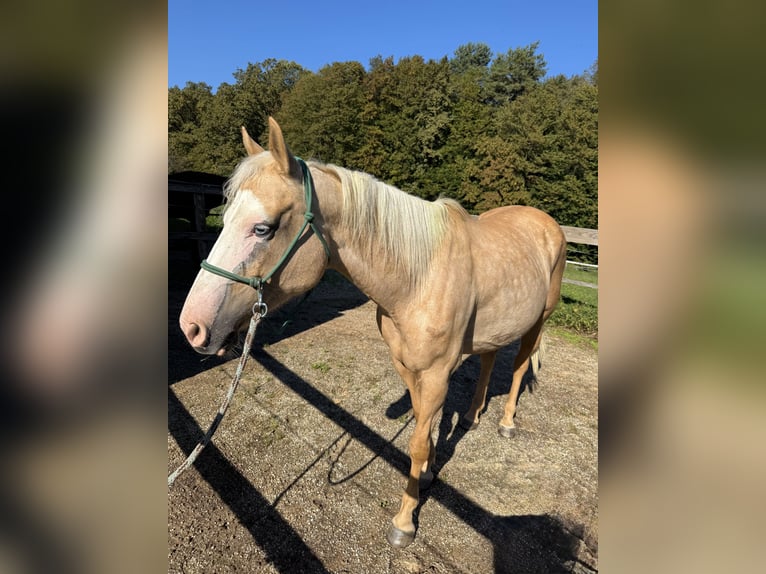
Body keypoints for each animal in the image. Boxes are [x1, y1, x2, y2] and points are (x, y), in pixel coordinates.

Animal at [179, 117, 567, 548]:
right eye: (225, 217)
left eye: (263, 228)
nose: (191, 326)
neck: (419, 277)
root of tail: (547, 223)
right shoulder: (407, 366)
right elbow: (423, 426)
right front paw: (428, 474)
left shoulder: (436, 374)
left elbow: (416, 441)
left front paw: (405, 522)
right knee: (489, 360)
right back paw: (471, 417)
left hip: (538, 321)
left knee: (518, 368)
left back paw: (507, 423)